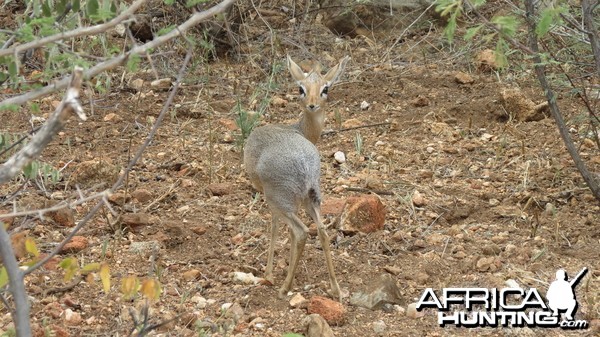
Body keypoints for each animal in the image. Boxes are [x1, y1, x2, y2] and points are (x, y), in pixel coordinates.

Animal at [241, 55, 350, 300]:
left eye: (326, 88)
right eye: (301, 88)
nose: (312, 104)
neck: (299, 130)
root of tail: (305, 166)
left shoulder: (272, 201)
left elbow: (275, 229)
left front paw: (269, 273)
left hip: (279, 201)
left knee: (301, 232)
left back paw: (284, 288)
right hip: (312, 198)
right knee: (321, 231)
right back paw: (336, 289)